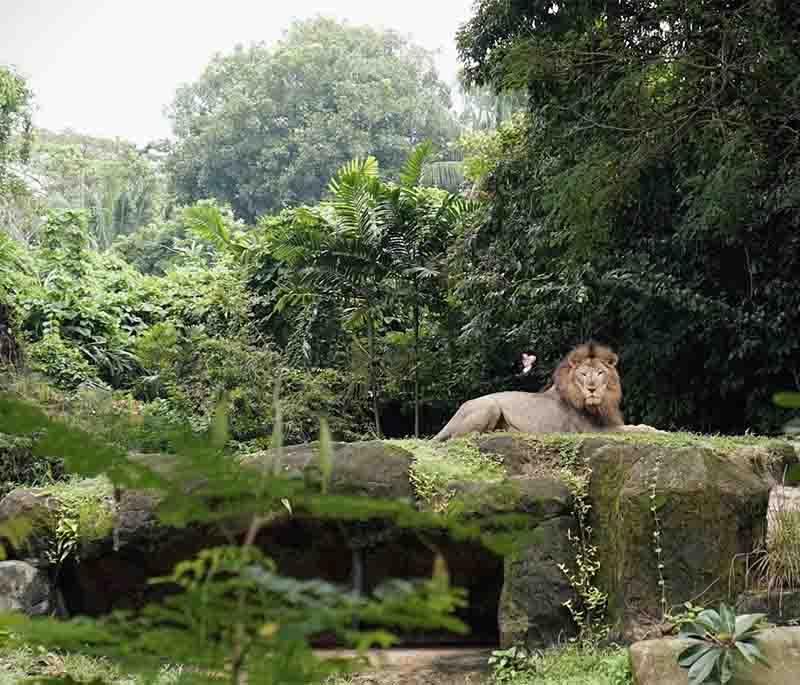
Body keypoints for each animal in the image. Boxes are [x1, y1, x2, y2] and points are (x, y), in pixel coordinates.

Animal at [434, 342, 660, 444]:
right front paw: (658, 432)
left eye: (600, 373)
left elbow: (637, 426)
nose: (592, 388)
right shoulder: (593, 430)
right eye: (584, 374)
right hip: (489, 406)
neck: (600, 403)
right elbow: (635, 430)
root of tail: (457, 412)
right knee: (458, 437)